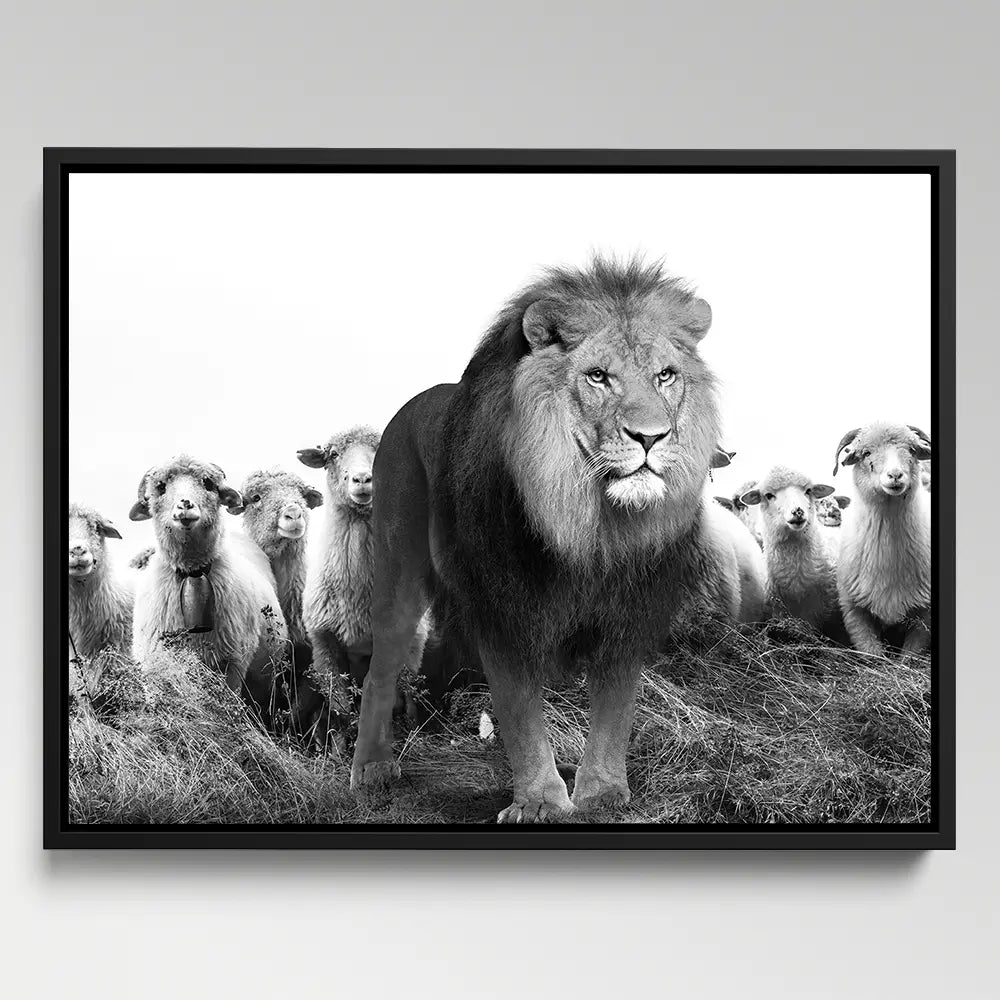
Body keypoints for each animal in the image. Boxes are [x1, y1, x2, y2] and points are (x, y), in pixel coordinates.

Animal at [351, 256, 733, 822]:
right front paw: (540, 802)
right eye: (598, 377)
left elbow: (616, 705)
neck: (590, 525)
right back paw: (371, 769)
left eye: (665, 375)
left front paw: (600, 795)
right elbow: (520, 713)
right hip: (399, 571)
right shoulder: (502, 606)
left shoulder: (628, 609)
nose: (651, 437)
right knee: (382, 666)